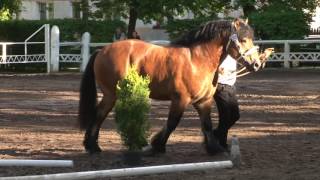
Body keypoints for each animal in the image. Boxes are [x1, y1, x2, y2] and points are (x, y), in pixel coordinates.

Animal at [79, 18, 262, 155]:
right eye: (243, 40)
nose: (257, 64)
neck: (197, 60)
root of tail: (101, 51)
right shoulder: (180, 99)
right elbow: (172, 123)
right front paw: (157, 146)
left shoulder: (203, 101)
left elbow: (207, 125)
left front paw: (214, 148)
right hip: (111, 94)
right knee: (98, 115)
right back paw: (93, 147)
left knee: (99, 115)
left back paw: (92, 146)